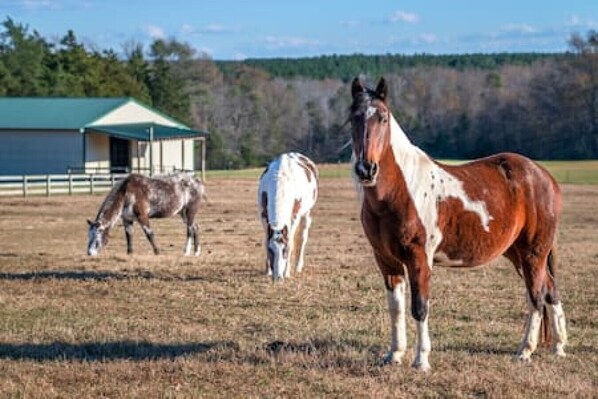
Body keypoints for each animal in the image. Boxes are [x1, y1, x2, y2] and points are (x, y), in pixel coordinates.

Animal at [260, 152, 322, 282]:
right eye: (270, 250)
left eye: (285, 249)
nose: (278, 277)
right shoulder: (263, 215)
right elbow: (265, 240)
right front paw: (268, 270)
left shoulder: (294, 218)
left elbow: (292, 242)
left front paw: (287, 272)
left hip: (306, 214)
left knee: (302, 238)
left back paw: (298, 266)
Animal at [350, 78, 568, 372]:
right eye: (354, 117)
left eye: (383, 118)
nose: (366, 169)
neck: (400, 191)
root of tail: (544, 176)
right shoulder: (386, 261)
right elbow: (395, 308)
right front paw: (394, 355)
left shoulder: (419, 259)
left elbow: (419, 307)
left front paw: (421, 361)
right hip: (519, 254)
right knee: (550, 291)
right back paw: (558, 348)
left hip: (534, 253)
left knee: (536, 296)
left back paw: (525, 351)